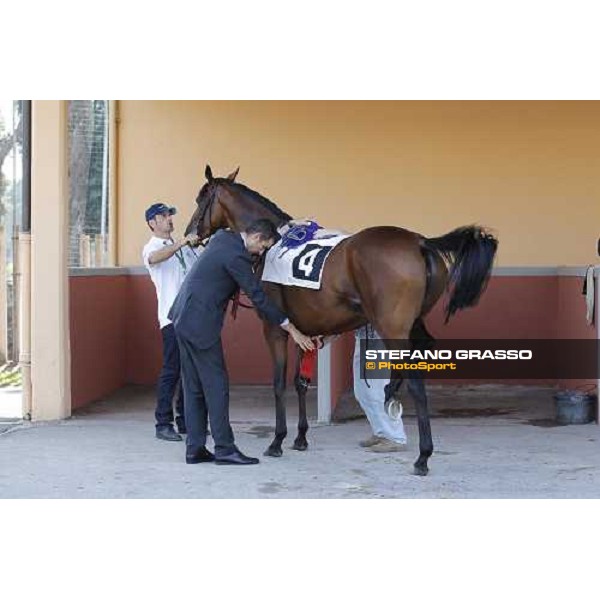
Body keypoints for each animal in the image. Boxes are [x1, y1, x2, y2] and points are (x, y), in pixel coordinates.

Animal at [184, 164, 496, 474]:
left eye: (201, 199)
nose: (191, 233)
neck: (275, 244)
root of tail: (420, 242)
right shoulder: (304, 331)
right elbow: (300, 382)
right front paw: (300, 437)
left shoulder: (274, 329)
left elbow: (279, 383)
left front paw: (277, 440)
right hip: (414, 323)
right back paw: (392, 396)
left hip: (392, 328)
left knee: (416, 383)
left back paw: (422, 455)